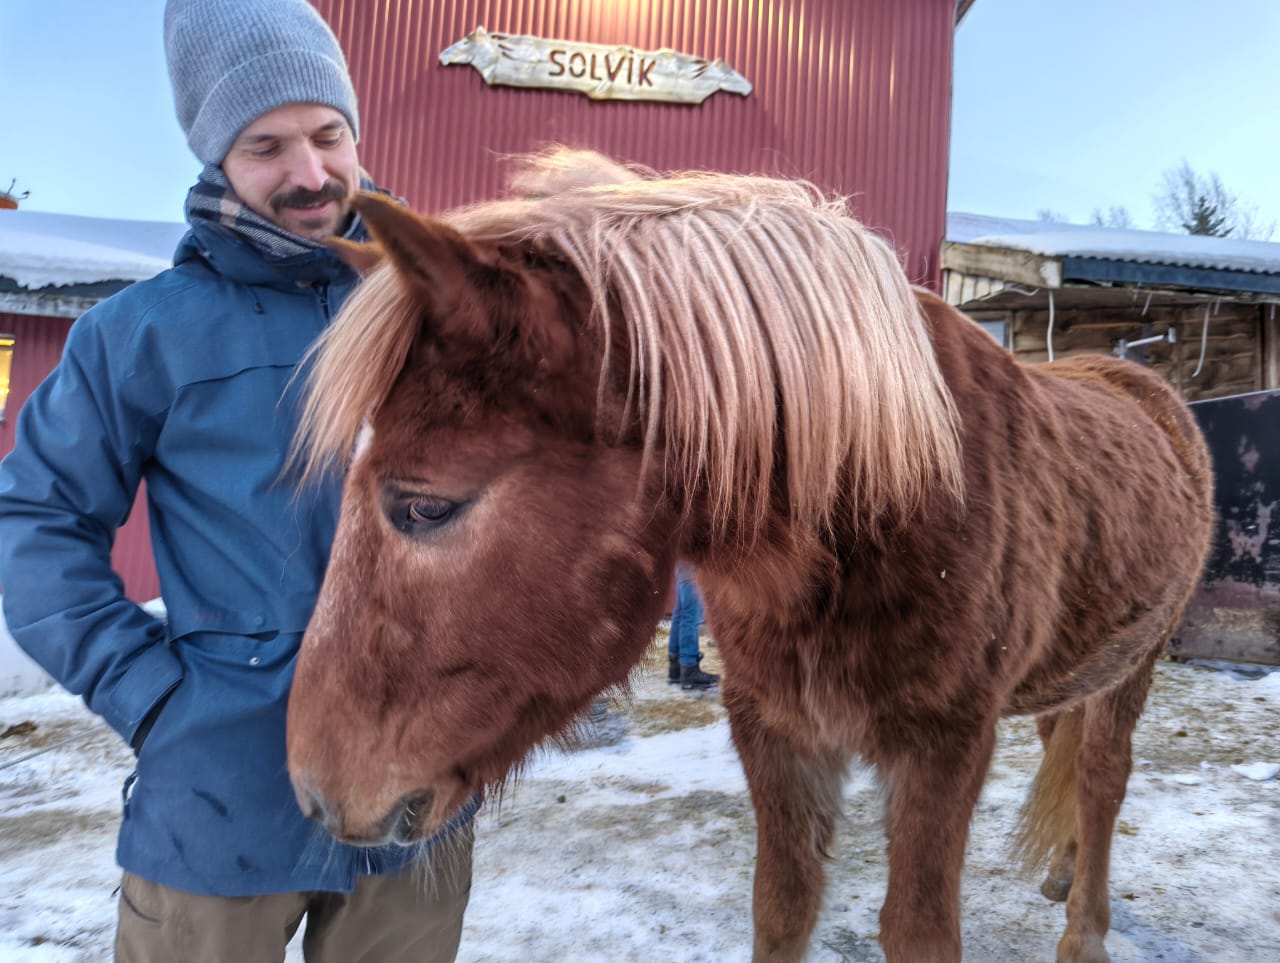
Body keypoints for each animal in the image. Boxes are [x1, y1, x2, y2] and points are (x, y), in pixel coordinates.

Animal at [285, 149, 1214, 963]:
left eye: (425, 505)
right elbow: (782, 907)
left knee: (1102, 777)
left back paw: (1083, 929)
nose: (312, 791)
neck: (881, 498)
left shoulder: (944, 746)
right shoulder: (774, 730)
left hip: (1137, 666)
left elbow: (918, 930)